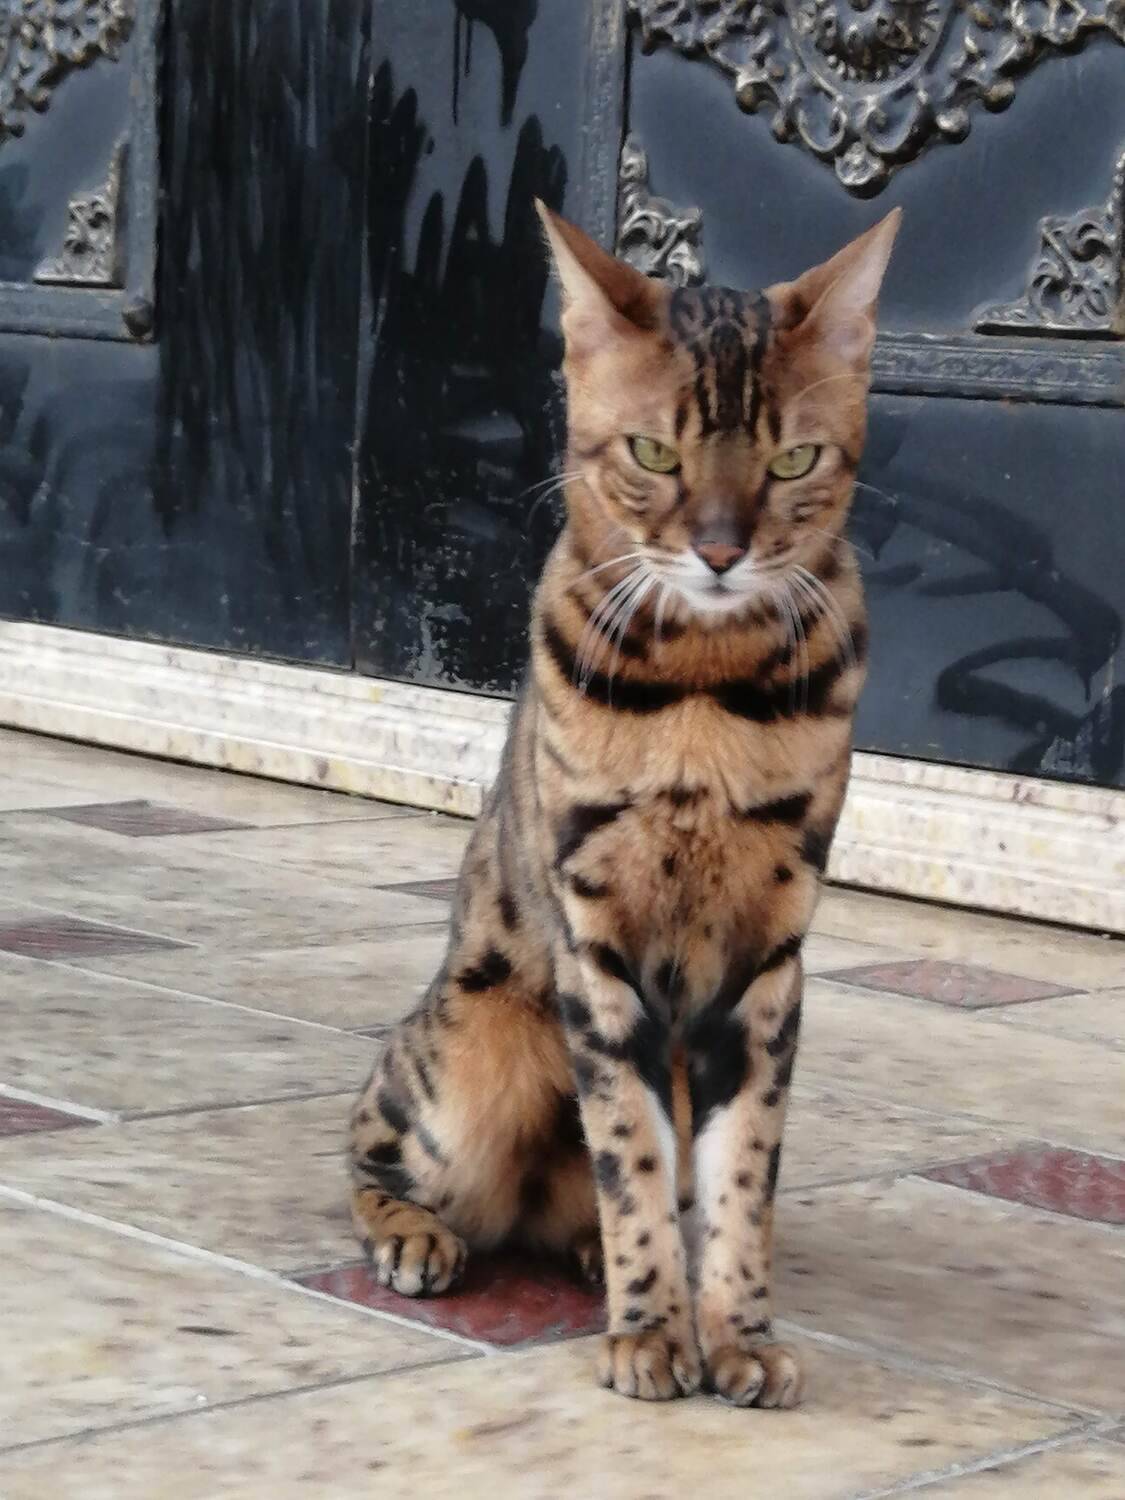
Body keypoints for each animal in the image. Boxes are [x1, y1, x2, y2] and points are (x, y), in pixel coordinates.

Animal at [349, 201, 899, 1405]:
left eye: (793, 460)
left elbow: (739, 1173)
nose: (722, 552)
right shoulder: (595, 939)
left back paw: (586, 1249)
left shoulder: (769, 958)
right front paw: (651, 1329)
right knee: (366, 1140)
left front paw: (735, 1331)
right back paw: (418, 1235)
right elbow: (630, 1157)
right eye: (654, 453)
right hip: (466, 1059)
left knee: (580, 1202)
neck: (702, 687)